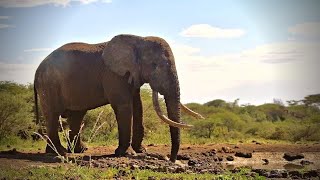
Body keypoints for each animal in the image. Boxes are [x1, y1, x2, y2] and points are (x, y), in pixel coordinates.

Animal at [33, 33, 204, 162]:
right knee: (53, 116)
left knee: (76, 115)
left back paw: (76, 151)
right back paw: (60, 153)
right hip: (49, 85)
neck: (139, 39)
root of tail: (37, 70)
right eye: (155, 65)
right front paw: (126, 153)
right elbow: (124, 106)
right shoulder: (113, 75)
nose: (171, 159)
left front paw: (141, 150)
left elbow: (138, 106)